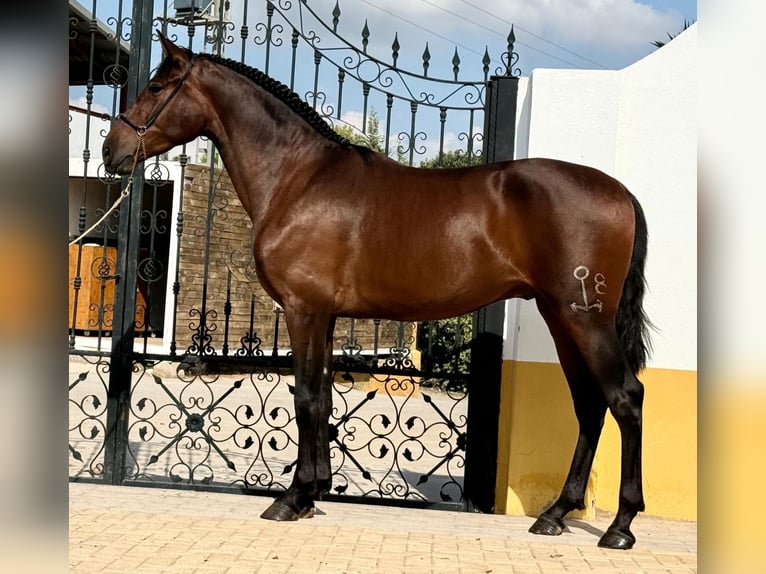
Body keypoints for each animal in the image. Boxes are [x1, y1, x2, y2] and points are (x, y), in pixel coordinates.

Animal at [103, 34, 651, 550]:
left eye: (156, 87)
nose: (111, 151)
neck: (298, 179)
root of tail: (621, 191)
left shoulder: (303, 311)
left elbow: (305, 398)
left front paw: (291, 499)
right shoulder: (323, 317)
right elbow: (323, 397)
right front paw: (314, 492)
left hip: (584, 319)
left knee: (625, 397)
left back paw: (620, 527)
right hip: (562, 318)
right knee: (589, 405)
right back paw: (555, 514)